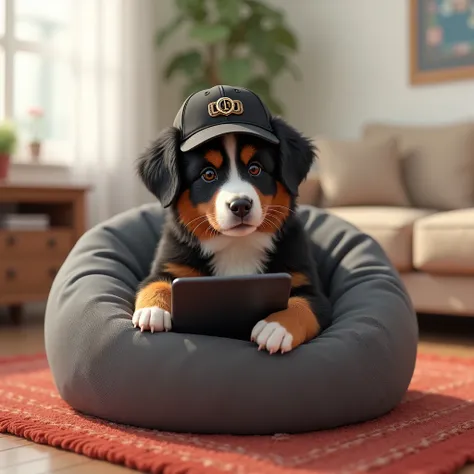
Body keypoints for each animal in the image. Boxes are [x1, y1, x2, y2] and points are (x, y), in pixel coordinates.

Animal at [131, 85, 330, 354]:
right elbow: (155, 283)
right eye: (208, 174)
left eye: (255, 169)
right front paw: (152, 310)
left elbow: (302, 305)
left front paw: (276, 327)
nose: (240, 205)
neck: (237, 245)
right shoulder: (170, 265)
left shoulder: (312, 289)